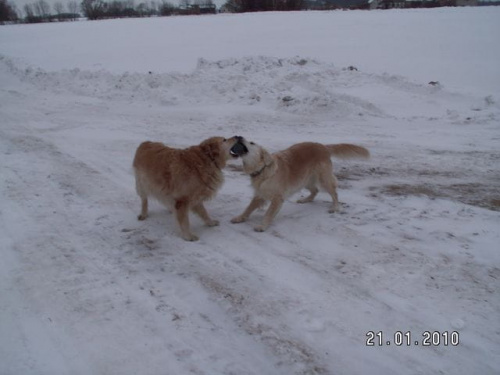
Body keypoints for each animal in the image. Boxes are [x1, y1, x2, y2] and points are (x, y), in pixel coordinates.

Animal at [229, 139, 370, 232]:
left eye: (252, 143)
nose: (239, 137)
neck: (264, 169)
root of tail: (323, 146)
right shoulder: (259, 194)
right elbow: (248, 208)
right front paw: (240, 218)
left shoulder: (277, 197)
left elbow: (268, 213)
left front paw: (262, 226)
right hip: (304, 181)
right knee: (315, 190)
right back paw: (305, 200)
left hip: (323, 179)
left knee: (334, 192)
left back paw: (335, 207)